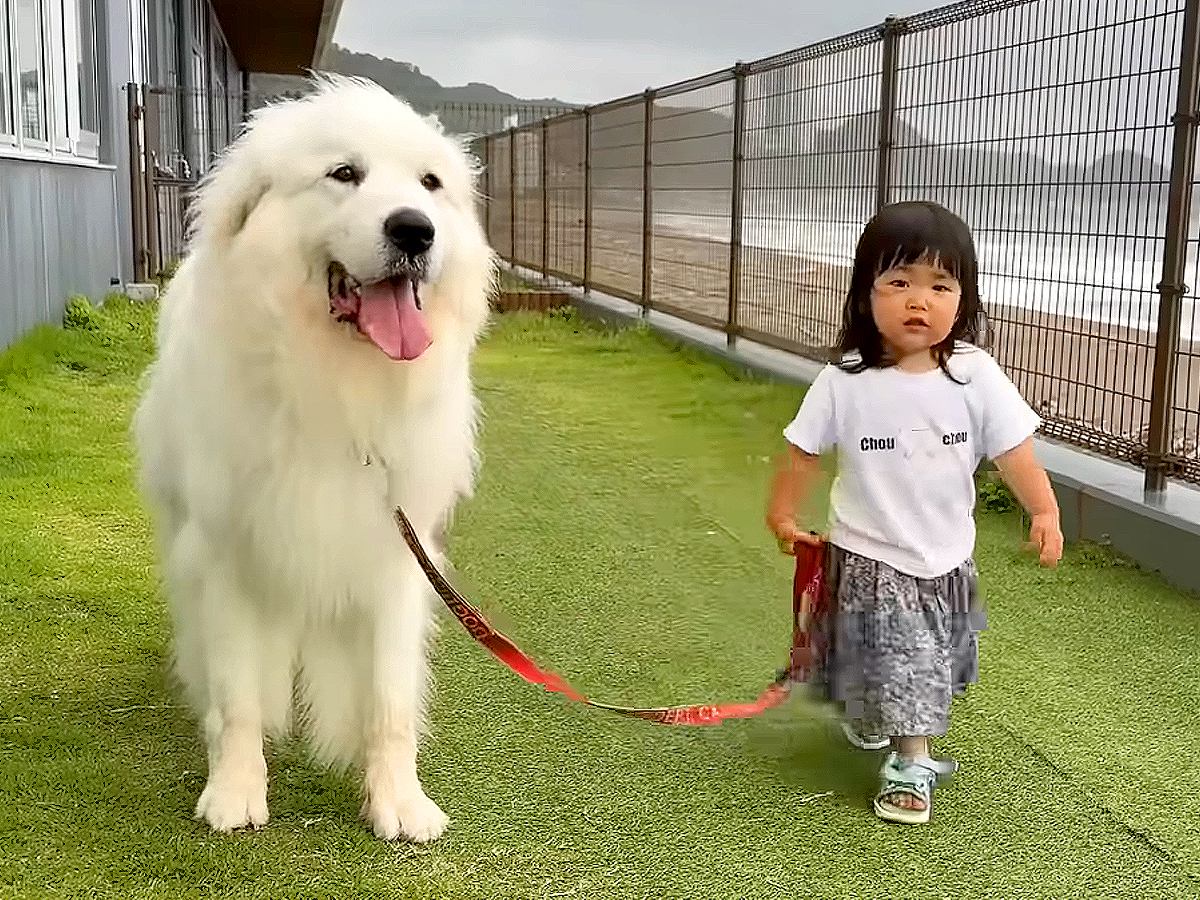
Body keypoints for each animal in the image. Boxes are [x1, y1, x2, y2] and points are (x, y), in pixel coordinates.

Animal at [135, 77, 496, 844]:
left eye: (430, 183)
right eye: (344, 174)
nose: (414, 230)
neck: (334, 389)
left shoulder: (394, 550)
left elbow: (389, 701)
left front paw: (399, 801)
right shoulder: (230, 550)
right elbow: (239, 692)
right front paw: (235, 790)